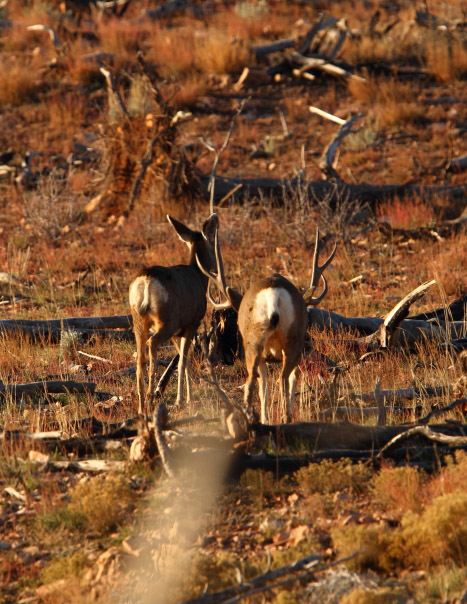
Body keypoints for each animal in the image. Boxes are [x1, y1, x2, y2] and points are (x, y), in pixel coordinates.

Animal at [130, 214, 219, 416]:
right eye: (213, 241)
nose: (216, 268)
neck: (200, 278)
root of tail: (146, 280)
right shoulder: (191, 324)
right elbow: (182, 362)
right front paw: (185, 400)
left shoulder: (178, 332)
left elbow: (183, 361)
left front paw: (186, 397)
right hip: (168, 319)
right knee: (152, 343)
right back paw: (151, 397)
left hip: (138, 319)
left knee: (139, 359)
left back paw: (141, 407)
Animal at [197, 226, 336, 424]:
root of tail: (273, 296)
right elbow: (286, 382)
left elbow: (265, 388)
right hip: (292, 341)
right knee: (282, 379)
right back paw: (285, 419)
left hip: (255, 344)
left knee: (254, 382)